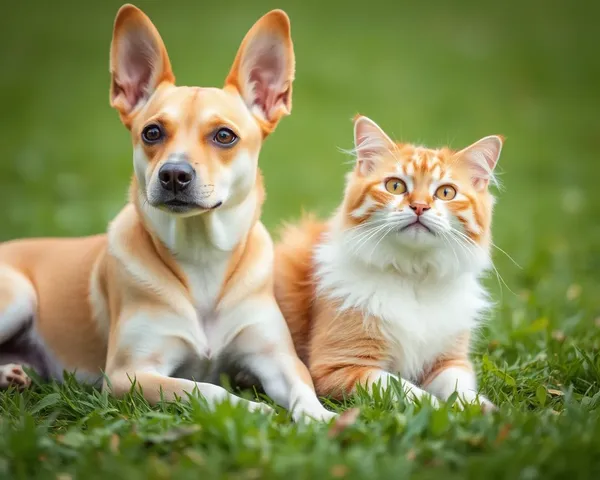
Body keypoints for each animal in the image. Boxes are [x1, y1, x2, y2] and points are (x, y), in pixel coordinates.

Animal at [0, 2, 338, 424]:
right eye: (152, 132)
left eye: (224, 135)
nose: (174, 174)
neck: (201, 255)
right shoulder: (129, 374)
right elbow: (204, 389)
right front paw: (252, 410)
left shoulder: (277, 359)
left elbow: (303, 389)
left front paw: (322, 417)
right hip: (16, 294)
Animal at [274, 114, 504, 410]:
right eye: (395, 186)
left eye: (446, 193)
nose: (419, 206)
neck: (414, 275)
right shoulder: (339, 367)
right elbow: (407, 390)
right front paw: (438, 408)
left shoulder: (450, 361)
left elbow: (460, 389)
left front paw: (484, 411)